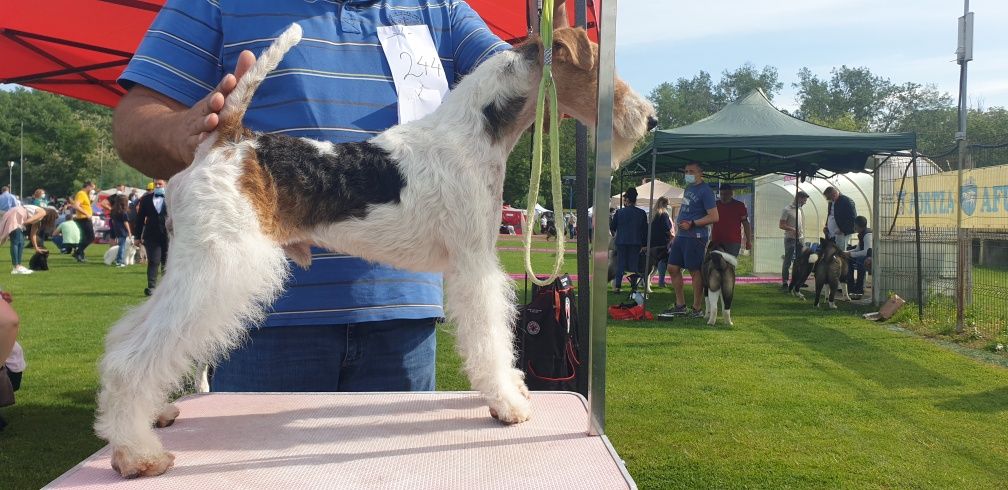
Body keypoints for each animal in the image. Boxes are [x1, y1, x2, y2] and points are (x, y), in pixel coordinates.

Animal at [98, 21, 657, 475]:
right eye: (599, 67)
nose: (649, 120)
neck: (475, 131)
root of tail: (228, 140)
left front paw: (514, 389)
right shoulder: (473, 262)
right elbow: (490, 336)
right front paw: (508, 403)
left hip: (193, 264)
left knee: (126, 337)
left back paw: (152, 417)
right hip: (218, 265)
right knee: (134, 357)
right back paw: (137, 454)